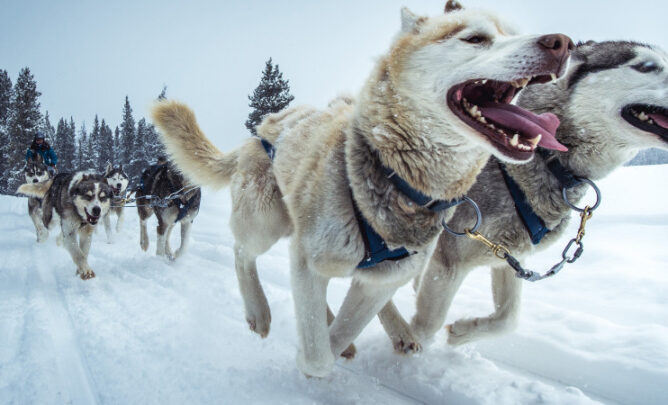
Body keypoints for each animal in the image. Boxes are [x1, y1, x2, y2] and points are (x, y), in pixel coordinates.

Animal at [153, 2, 576, 376]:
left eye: (515, 32)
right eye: (475, 38)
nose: (562, 43)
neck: (398, 179)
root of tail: (262, 128)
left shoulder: (380, 280)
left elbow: (340, 332)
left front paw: (339, 339)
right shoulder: (312, 255)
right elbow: (318, 358)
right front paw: (311, 357)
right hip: (265, 223)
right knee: (243, 253)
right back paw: (258, 311)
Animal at [378, 39, 668, 352]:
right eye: (646, 66)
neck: (544, 156)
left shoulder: (509, 256)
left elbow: (509, 318)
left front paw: (463, 332)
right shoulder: (449, 257)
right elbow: (427, 323)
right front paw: (407, 340)